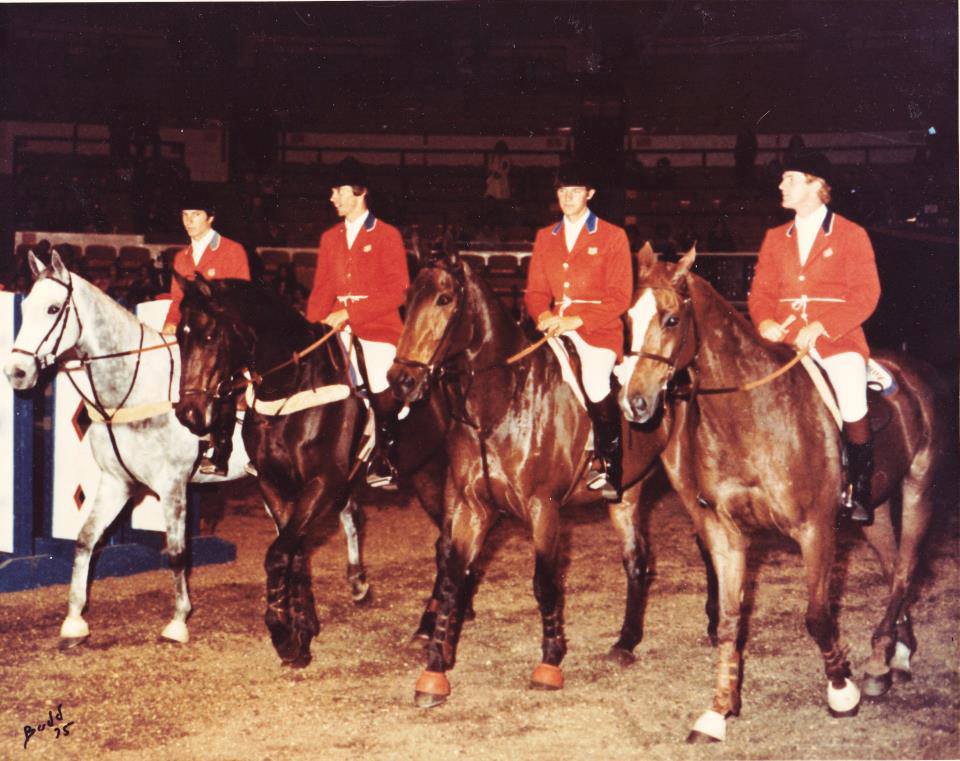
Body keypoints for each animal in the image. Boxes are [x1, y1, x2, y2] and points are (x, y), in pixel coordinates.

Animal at [172, 274, 450, 664]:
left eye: (210, 336)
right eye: (179, 336)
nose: (189, 414)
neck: (289, 388)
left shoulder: (323, 483)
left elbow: (277, 554)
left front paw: (282, 634)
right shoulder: (275, 484)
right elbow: (295, 552)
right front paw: (303, 628)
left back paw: (430, 624)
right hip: (424, 476)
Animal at [384, 254, 676, 708]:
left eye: (444, 299)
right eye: (405, 302)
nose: (401, 380)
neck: (501, 402)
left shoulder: (544, 509)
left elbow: (544, 583)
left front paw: (550, 662)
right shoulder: (471, 507)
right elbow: (452, 577)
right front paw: (434, 670)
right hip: (623, 496)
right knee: (636, 559)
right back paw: (625, 642)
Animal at [620, 248, 940, 744]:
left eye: (672, 319)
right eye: (627, 319)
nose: (634, 403)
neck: (750, 415)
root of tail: (912, 371)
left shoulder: (815, 531)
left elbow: (817, 616)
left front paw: (841, 691)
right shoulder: (725, 533)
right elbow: (730, 620)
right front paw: (718, 711)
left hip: (918, 487)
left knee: (905, 570)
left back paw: (875, 666)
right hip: (875, 509)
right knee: (892, 569)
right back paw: (894, 655)